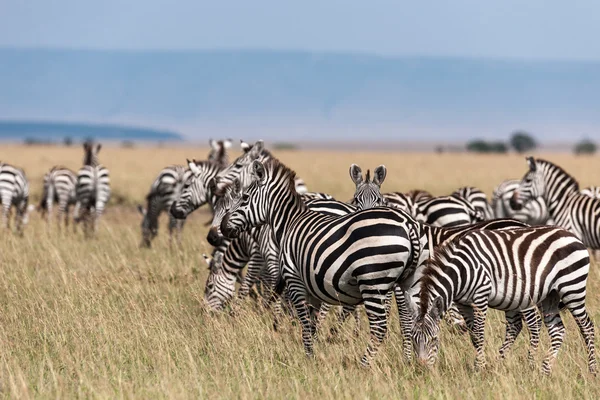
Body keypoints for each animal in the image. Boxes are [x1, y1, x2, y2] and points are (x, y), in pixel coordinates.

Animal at [220, 159, 426, 366]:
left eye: (245, 197)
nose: (222, 226)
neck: (289, 223)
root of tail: (408, 224)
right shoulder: (313, 287)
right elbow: (312, 322)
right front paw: (313, 354)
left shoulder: (295, 279)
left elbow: (304, 321)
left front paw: (309, 358)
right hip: (409, 282)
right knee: (411, 320)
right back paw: (409, 361)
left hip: (372, 281)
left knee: (379, 327)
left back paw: (363, 365)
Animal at [410, 227, 596, 376]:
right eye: (413, 340)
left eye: (434, 339)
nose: (422, 369)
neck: (461, 271)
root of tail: (572, 235)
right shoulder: (463, 303)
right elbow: (473, 336)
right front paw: (481, 366)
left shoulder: (481, 295)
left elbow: (479, 334)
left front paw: (480, 368)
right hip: (550, 296)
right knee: (557, 330)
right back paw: (544, 370)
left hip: (572, 287)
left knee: (587, 327)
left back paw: (592, 370)